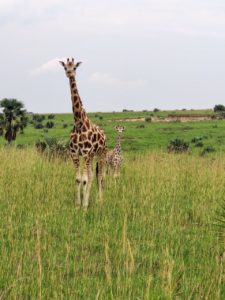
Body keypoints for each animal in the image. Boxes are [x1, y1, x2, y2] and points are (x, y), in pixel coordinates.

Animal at [59, 58, 107, 209]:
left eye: (74, 67)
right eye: (65, 67)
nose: (69, 73)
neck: (79, 123)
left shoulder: (85, 153)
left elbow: (85, 179)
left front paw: (84, 207)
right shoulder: (75, 153)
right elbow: (78, 179)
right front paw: (78, 205)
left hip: (101, 154)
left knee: (100, 176)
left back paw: (99, 200)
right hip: (91, 156)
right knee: (92, 175)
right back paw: (89, 200)